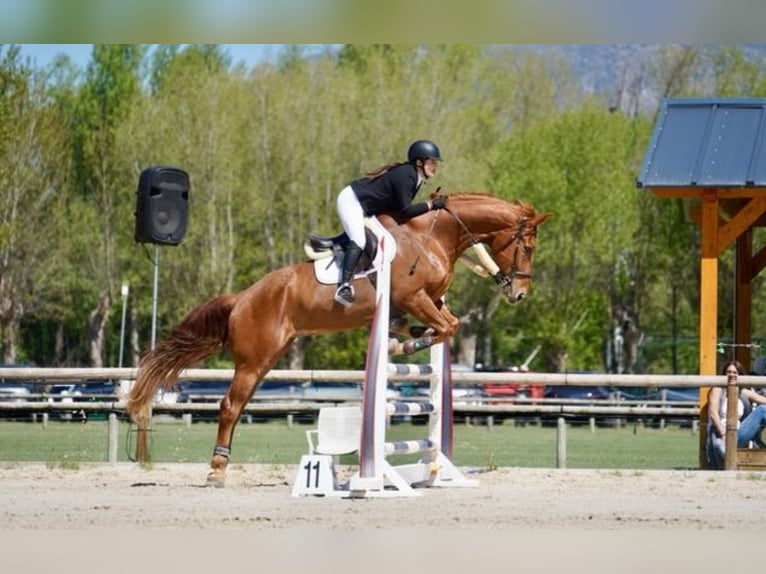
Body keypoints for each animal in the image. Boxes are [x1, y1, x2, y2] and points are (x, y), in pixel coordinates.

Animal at [126, 193, 551, 485]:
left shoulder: (424, 302)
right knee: (230, 406)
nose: (519, 294)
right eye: (528, 247)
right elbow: (448, 326)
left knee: (237, 405)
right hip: (253, 360)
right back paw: (216, 470)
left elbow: (448, 322)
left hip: (267, 359)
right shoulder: (414, 298)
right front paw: (409, 343)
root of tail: (242, 297)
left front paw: (410, 336)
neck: (433, 237)